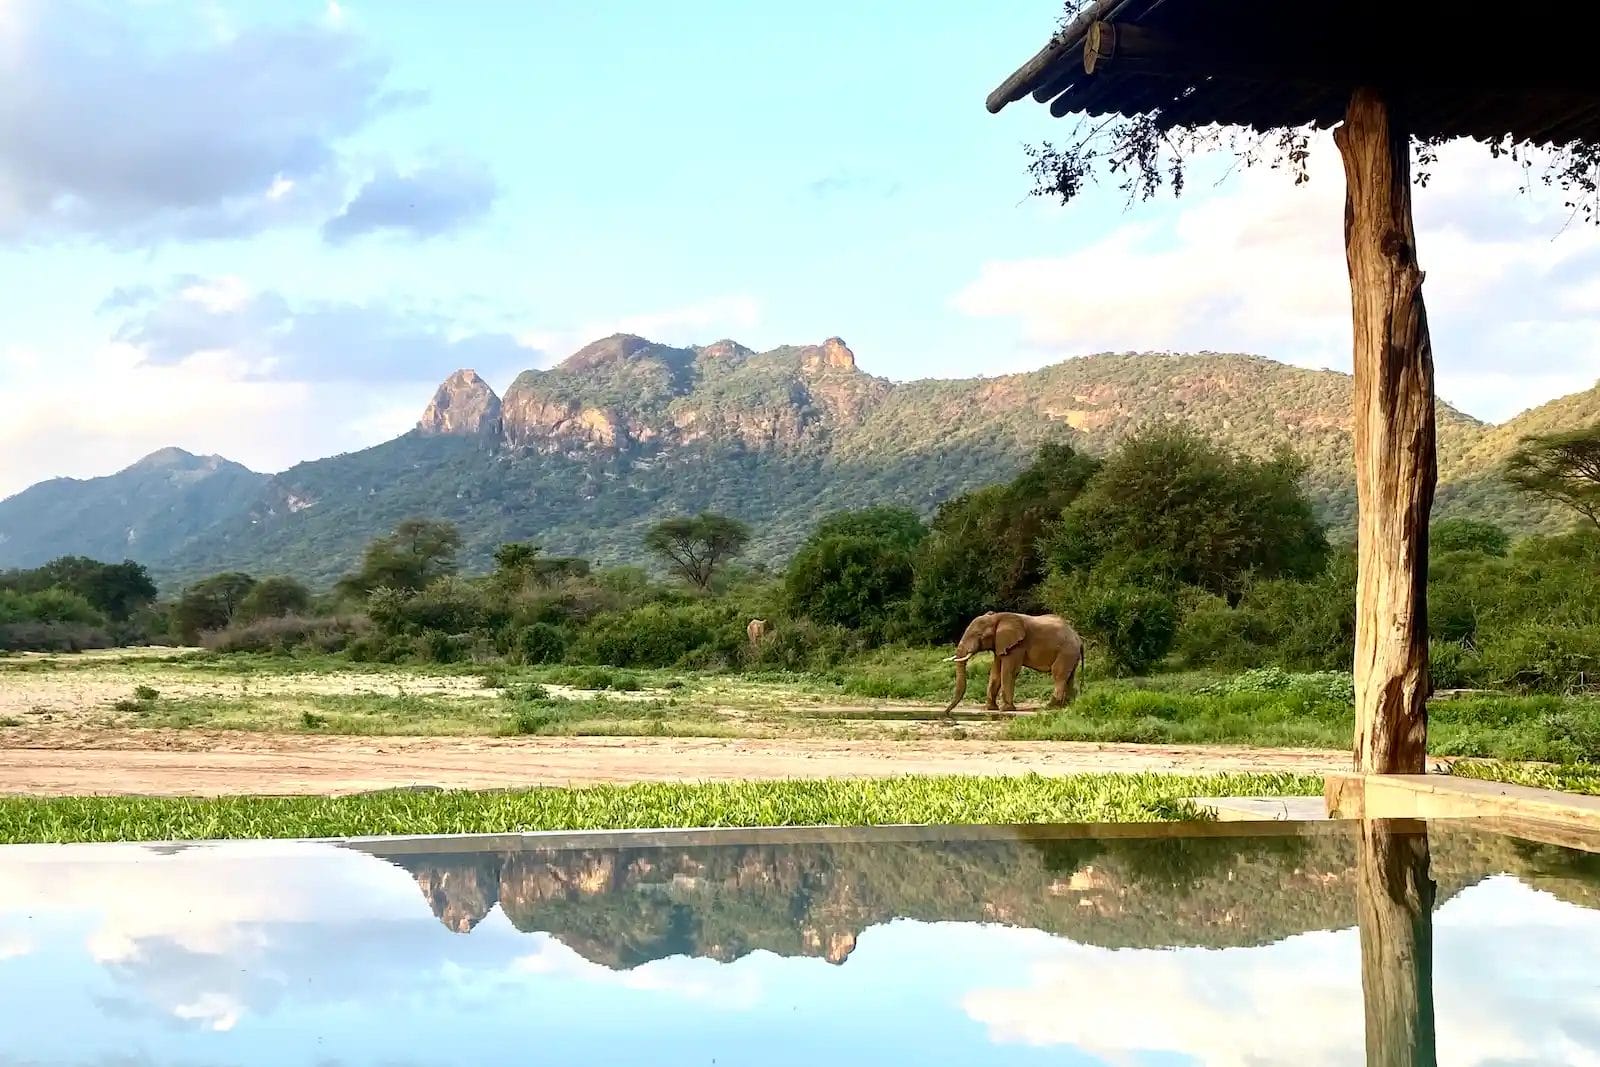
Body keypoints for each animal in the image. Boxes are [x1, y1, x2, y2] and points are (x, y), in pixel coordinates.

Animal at [942, 611, 1084, 715]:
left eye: (978, 635)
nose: (946, 712)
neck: (997, 617)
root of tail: (1078, 638)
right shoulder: (1000, 645)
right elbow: (995, 673)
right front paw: (990, 709)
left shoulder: (1017, 645)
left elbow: (1009, 671)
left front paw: (1005, 709)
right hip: (1071, 654)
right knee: (1069, 676)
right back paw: (1067, 705)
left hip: (1067, 651)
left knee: (1058, 674)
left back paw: (1050, 707)